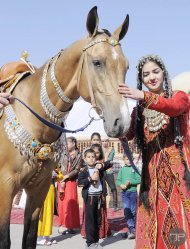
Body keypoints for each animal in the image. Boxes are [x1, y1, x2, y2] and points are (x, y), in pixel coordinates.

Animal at [0, 5, 131, 249]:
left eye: (126, 66)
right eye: (97, 62)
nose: (122, 122)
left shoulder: (39, 188)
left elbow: (29, 237)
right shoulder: (5, 187)